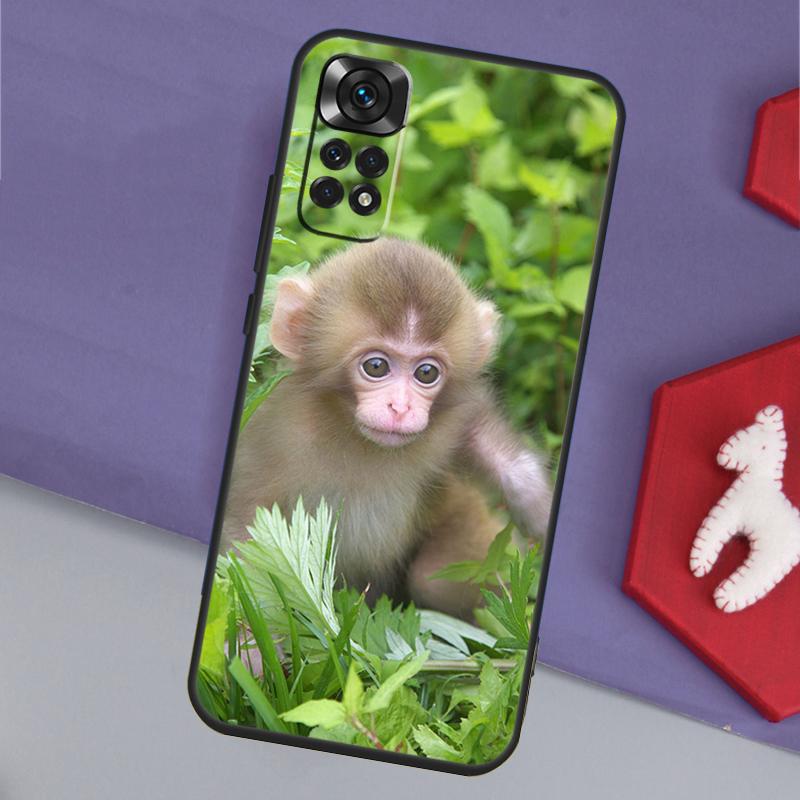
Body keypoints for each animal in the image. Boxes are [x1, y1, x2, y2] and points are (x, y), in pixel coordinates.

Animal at [221, 237, 553, 618]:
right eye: (376, 366)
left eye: (427, 373)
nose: (401, 407)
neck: (354, 434)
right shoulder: (271, 435)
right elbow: (248, 536)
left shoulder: (451, 421)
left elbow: (484, 438)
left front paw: (539, 507)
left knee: (431, 579)